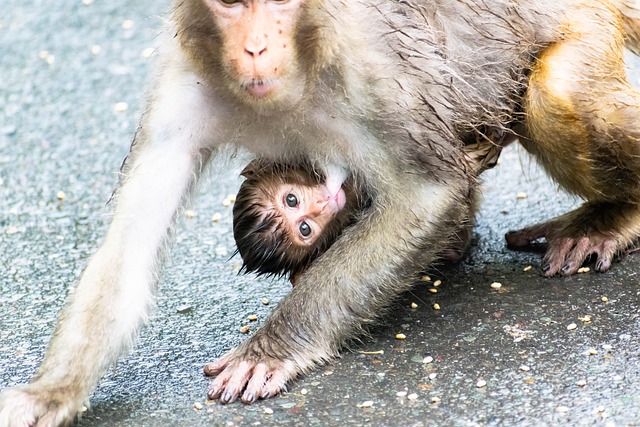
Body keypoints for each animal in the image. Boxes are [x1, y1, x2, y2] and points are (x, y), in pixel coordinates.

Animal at [1, 0, 640, 426]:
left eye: (281, 3)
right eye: (230, 5)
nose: (256, 47)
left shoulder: (369, 70)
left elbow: (428, 193)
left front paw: (270, 350)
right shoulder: (184, 84)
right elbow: (127, 255)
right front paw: (49, 394)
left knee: (554, 91)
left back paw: (615, 215)